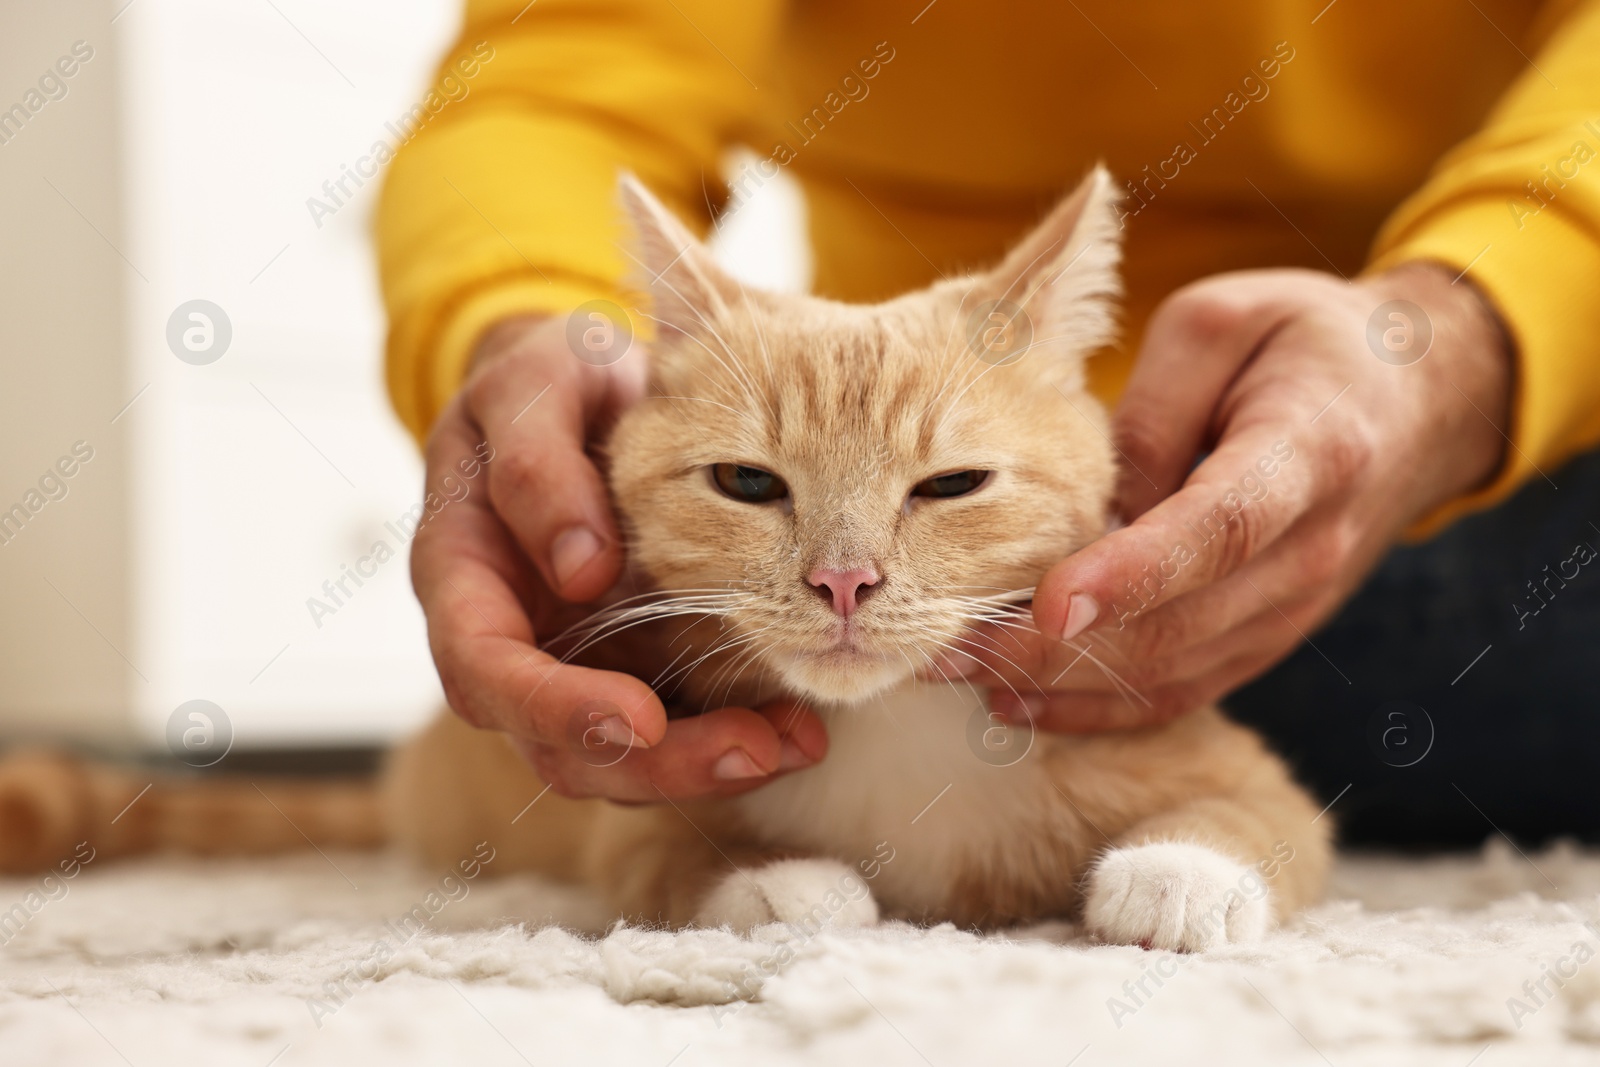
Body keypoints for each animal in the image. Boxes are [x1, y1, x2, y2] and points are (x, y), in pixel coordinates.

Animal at [0, 167, 1324, 953]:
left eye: (951, 486)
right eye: (749, 483)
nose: (844, 580)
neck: (897, 731)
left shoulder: (1225, 763)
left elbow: (1253, 811)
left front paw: (1179, 871)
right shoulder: (630, 816)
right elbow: (675, 856)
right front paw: (784, 882)